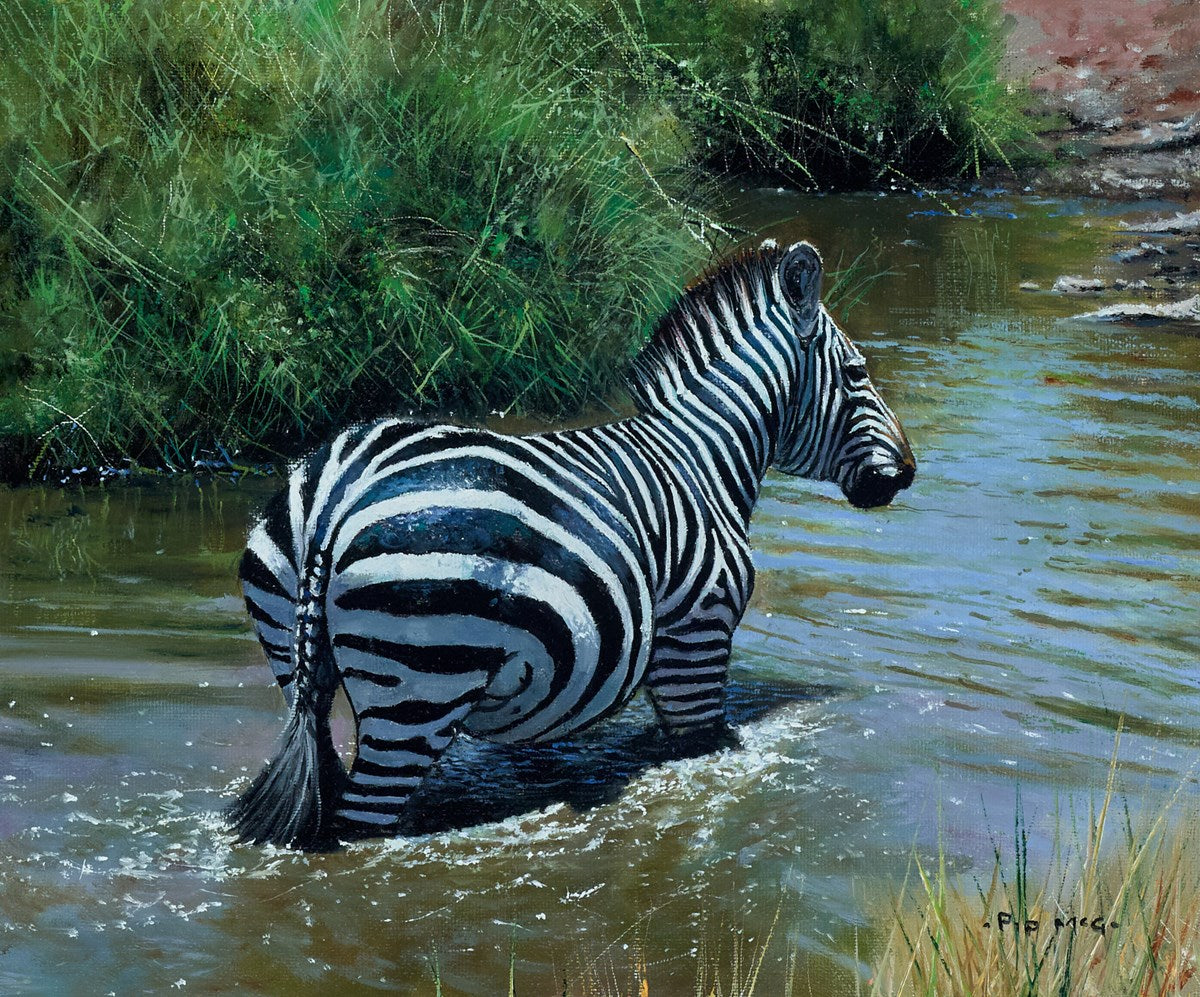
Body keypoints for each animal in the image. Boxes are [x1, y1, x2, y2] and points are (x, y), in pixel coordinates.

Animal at [227, 240, 915, 850]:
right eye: (857, 373)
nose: (907, 472)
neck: (701, 456)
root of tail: (335, 495)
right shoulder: (697, 638)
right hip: (420, 689)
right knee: (357, 825)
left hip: (300, 666)